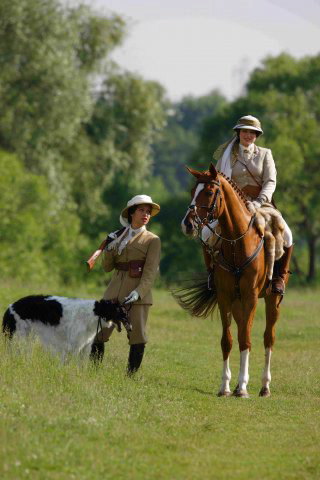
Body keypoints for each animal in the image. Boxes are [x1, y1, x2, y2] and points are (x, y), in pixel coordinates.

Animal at [3, 294, 131, 358]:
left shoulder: (85, 346)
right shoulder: (74, 346)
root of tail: (10, 307)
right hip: (20, 337)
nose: (131, 328)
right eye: (123, 313)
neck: (95, 312)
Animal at [178, 163, 288, 396]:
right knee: (241, 331)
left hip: (272, 300)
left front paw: (243, 388)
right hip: (237, 304)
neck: (237, 243)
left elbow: (246, 339)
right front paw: (226, 386)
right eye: (192, 192)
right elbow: (228, 340)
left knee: (268, 337)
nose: (187, 224)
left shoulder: (251, 297)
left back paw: (264, 386)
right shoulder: (225, 297)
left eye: (209, 192)